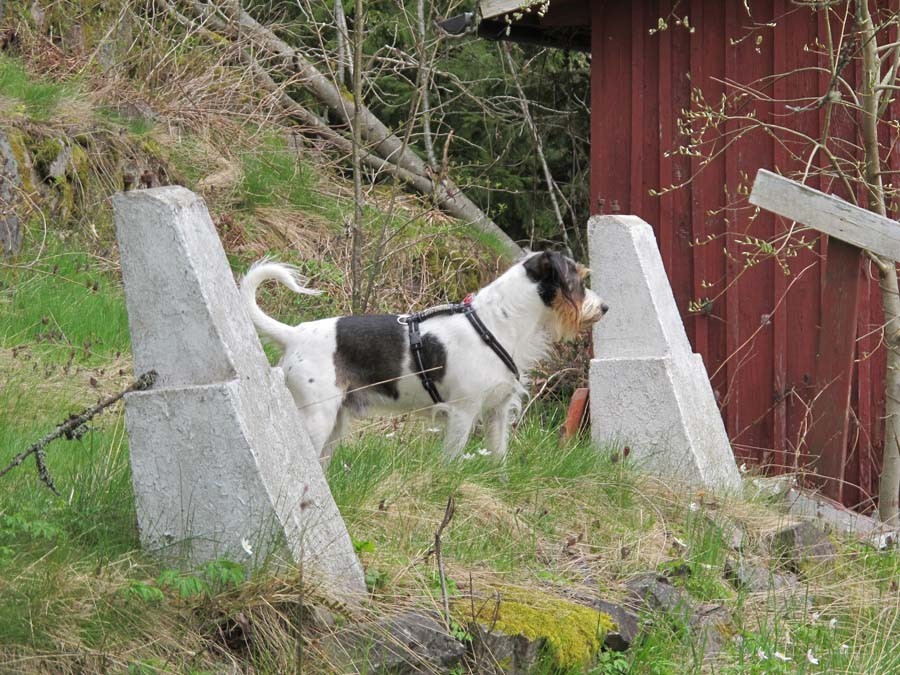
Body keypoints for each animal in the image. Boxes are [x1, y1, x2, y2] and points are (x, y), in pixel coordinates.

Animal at [241, 250, 604, 464]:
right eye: (577, 281)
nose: (605, 307)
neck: (497, 322)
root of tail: (295, 333)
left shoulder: (497, 411)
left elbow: (498, 454)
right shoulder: (462, 413)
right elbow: (452, 458)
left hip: (335, 421)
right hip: (316, 417)